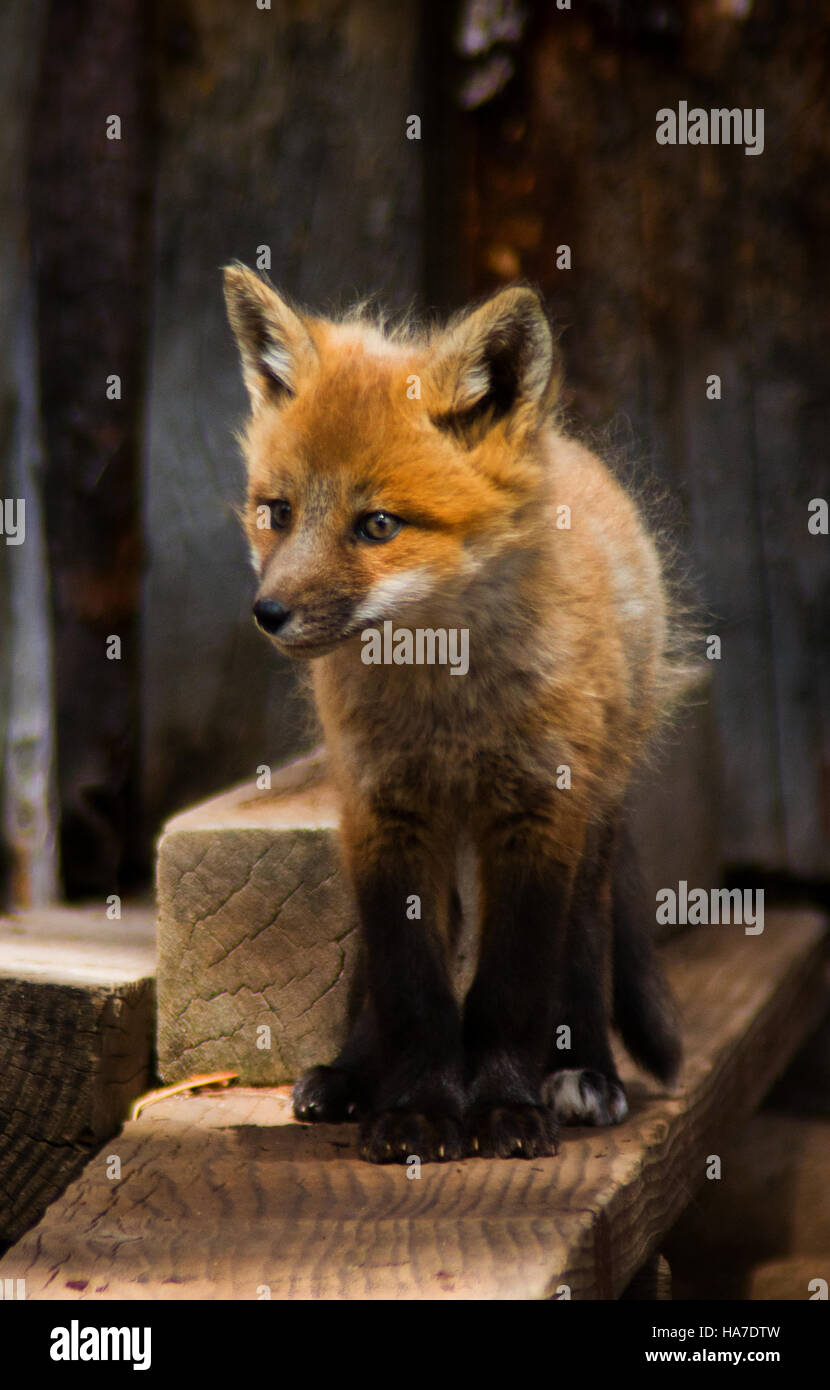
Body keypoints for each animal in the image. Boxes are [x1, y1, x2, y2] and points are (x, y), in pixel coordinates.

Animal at [223, 263, 685, 1164]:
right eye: (277, 512)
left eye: (378, 525)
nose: (268, 613)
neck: (447, 709)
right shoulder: (385, 812)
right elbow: (410, 988)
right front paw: (415, 1110)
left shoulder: (538, 813)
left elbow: (511, 986)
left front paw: (504, 1104)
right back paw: (350, 1075)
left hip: (594, 815)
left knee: (583, 941)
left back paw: (583, 1067)